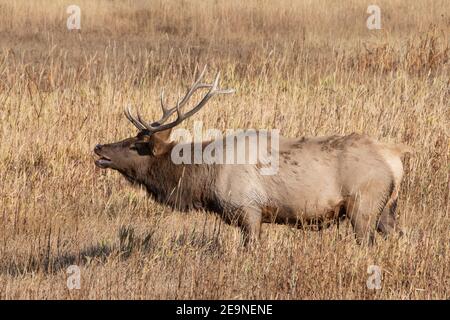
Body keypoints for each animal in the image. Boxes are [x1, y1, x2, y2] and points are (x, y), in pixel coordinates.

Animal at [95, 65, 412, 245]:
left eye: (135, 143)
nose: (99, 148)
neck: (205, 180)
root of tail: (395, 158)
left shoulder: (249, 209)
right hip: (387, 209)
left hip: (363, 205)